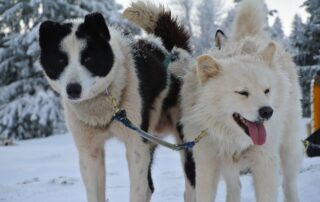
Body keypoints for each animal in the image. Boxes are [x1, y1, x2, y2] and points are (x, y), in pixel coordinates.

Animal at [39, 1, 195, 202]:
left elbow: (136, 189)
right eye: (60, 61)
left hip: (184, 143)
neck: (103, 110)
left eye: (88, 58)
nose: (73, 89)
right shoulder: (90, 152)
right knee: (149, 187)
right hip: (149, 140)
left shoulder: (136, 148)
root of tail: (173, 50)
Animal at [181, 0, 304, 202]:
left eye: (266, 90)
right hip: (228, 166)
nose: (267, 112)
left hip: (288, 148)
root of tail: (248, 37)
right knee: (235, 187)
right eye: (242, 92)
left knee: (289, 184)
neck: (232, 138)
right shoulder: (207, 163)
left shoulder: (264, 162)